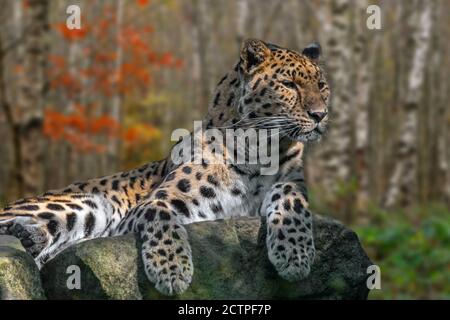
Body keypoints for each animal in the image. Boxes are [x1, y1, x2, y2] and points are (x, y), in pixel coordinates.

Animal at [0, 40, 330, 298]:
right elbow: (160, 213)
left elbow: (292, 195)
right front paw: (172, 270)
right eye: (288, 84)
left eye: (322, 86)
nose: (320, 115)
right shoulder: (143, 211)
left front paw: (295, 255)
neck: (262, 150)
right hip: (89, 203)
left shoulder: (291, 182)